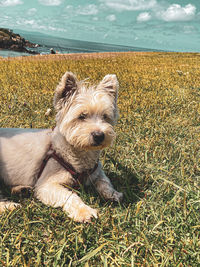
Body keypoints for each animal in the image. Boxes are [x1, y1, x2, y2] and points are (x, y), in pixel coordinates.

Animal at [0, 72, 122, 223]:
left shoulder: (96, 171)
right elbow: (70, 196)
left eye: (105, 117)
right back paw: (9, 206)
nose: (99, 135)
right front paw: (85, 211)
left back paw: (21, 190)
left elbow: (104, 181)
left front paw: (113, 193)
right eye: (82, 116)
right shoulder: (47, 185)